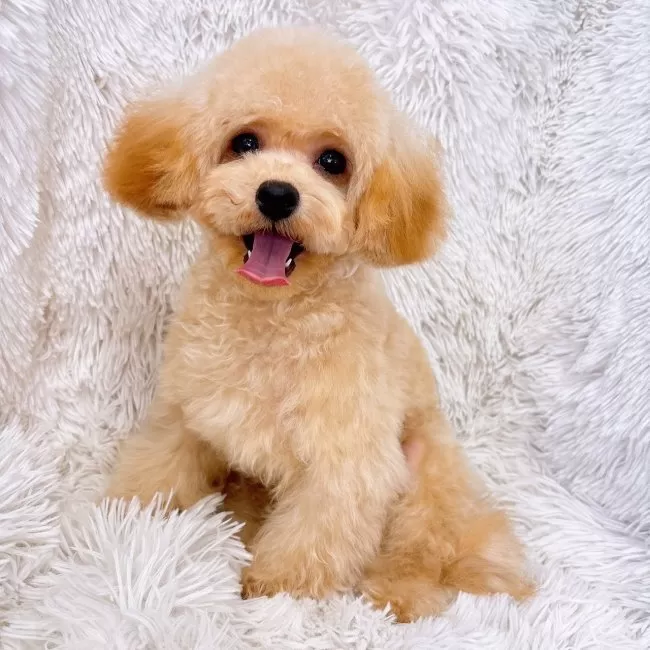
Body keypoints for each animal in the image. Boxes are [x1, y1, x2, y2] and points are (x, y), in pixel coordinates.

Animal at [103, 27, 532, 622]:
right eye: (244, 142)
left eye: (333, 160)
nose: (277, 194)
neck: (270, 318)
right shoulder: (185, 414)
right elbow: (158, 467)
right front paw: (127, 520)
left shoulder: (346, 459)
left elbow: (314, 535)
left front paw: (273, 587)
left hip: (426, 472)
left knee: (424, 548)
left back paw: (399, 595)